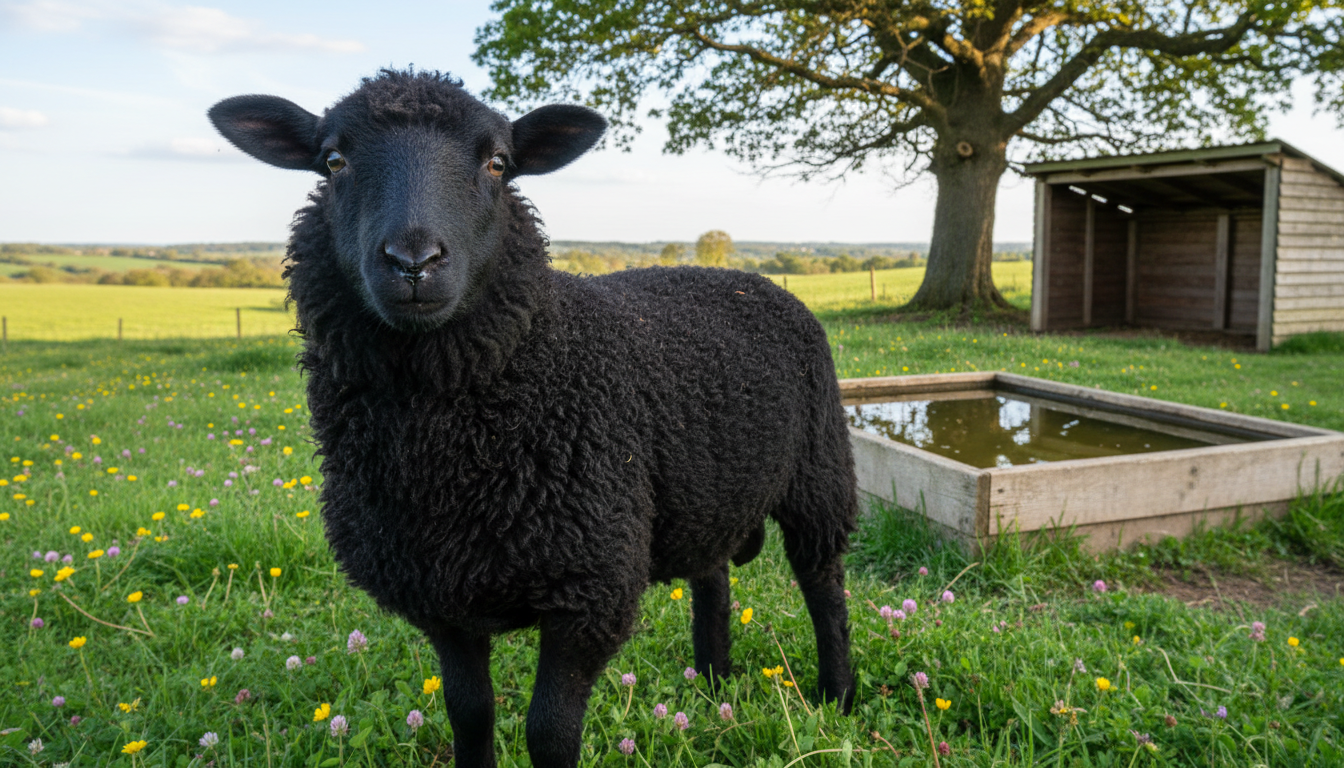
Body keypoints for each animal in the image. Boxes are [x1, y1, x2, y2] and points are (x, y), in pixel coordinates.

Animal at [209, 69, 857, 768]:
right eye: (333, 162)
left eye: (498, 163)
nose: (414, 262)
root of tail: (746, 278)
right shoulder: (441, 595)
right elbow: (469, 713)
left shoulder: (589, 590)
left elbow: (549, 732)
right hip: (704, 492)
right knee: (712, 578)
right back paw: (713, 684)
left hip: (819, 472)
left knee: (824, 585)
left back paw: (838, 696)